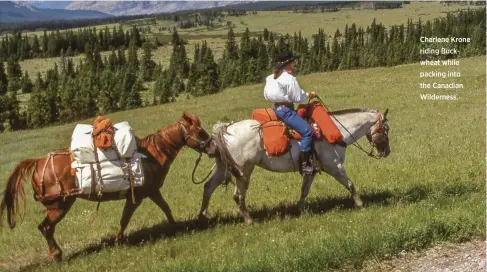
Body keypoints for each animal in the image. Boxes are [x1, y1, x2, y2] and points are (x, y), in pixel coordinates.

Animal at [198, 107, 388, 224]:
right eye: (387, 128)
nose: (386, 152)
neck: (337, 131)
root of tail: (225, 130)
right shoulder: (335, 166)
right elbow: (350, 184)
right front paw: (360, 204)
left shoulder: (311, 170)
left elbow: (304, 190)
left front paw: (301, 210)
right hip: (244, 171)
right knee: (238, 196)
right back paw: (249, 220)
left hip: (223, 168)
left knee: (208, 186)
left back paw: (203, 215)